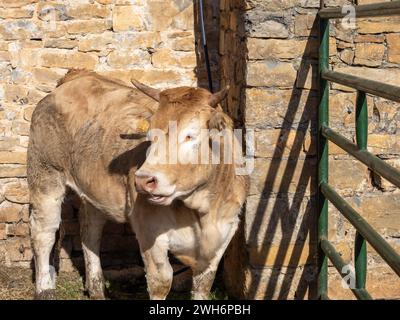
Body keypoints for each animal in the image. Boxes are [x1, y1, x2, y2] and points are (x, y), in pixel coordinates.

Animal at [28, 69, 247, 300]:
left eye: (190, 135)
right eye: (150, 136)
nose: (142, 180)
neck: (202, 211)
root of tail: (75, 77)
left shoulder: (223, 233)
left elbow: (203, 285)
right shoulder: (149, 230)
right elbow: (162, 281)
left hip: (93, 193)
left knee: (90, 230)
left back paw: (96, 289)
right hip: (45, 176)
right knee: (44, 233)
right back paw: (45, 289)